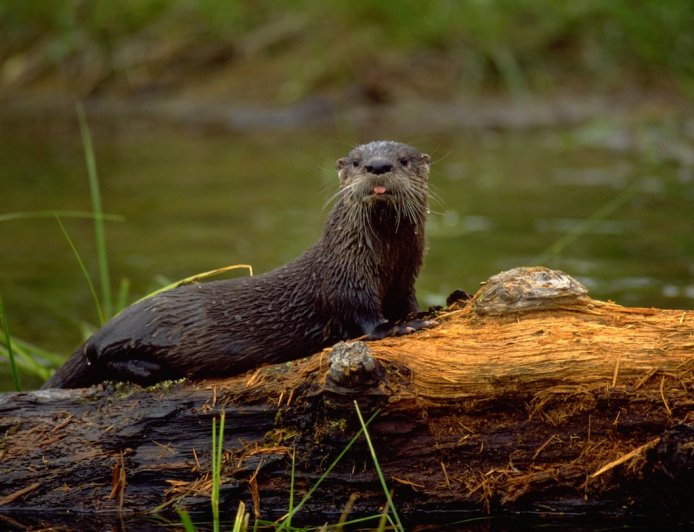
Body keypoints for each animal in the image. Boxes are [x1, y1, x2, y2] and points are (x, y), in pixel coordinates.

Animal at [42, 140, 433, 389]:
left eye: (403, 159)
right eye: (355, 162)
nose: (377, 166)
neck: (382, 258)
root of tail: (106, 325)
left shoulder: (406, 275)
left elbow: (406, 300)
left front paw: (421, 314)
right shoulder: (345, 278)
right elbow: (366, 319)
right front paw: (400, 327)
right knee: (96, 353)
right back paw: (147, 367)